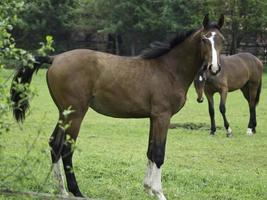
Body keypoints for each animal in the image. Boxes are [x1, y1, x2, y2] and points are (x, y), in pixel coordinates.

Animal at [9, 14, 224, 200]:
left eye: (221, 40)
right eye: (204, 39)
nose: (214, 68)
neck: (169, 69)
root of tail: (55, 58)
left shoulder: (154, 118)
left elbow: (150, 151)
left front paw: (148, 189)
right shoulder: (163, 116)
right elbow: (159, 154)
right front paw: (159, 192)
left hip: (64, 113)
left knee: (54, 144)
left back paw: (61, 191)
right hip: (76, 114)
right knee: (66, 149)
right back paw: (76, 192)